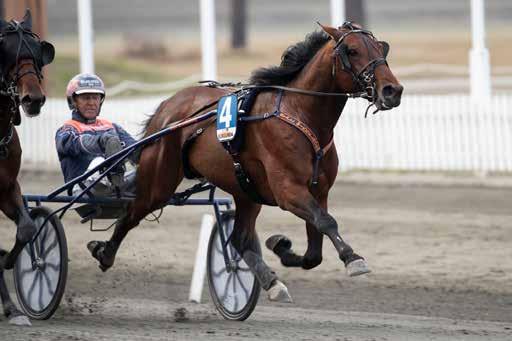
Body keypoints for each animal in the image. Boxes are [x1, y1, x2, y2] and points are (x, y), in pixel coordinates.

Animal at [89, 22, 404, 302]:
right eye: (352, 50)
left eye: (381, 47)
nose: (392, 90)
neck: (300, 114)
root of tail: (167, 106)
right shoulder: (288, 190)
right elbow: (327, 222)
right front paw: (353, 258)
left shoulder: (318, 191)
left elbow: (315, 249)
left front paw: (282, 246)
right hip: (159, 183)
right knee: (131, 213)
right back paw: (104, 253)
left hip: (245, 191)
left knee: (240, 239)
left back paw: (271, 283)